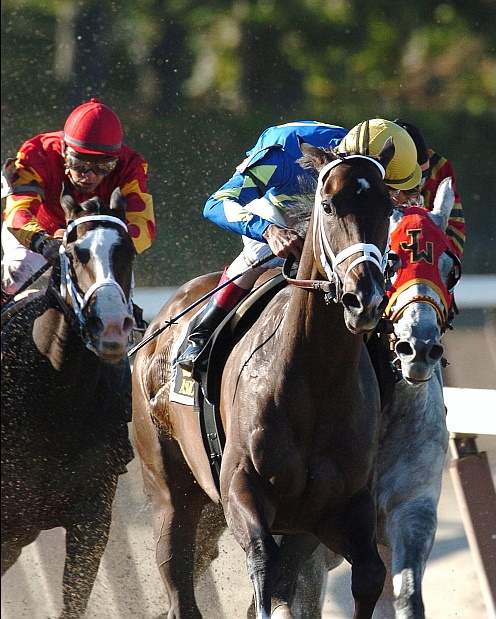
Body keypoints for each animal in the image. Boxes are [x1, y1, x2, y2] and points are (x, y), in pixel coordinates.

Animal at [132, 142, 396, 619]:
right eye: (328, 205)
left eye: (387, 207)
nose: (362, 299)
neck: (315, 376)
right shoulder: (242, 488)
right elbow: (263, 565)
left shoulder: (341, 507)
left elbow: (368, 575)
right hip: (168, 490)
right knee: (179, 582)